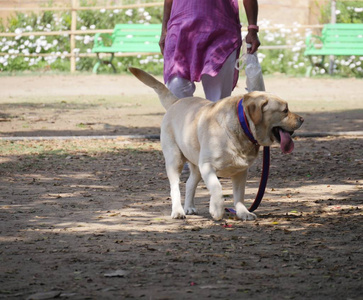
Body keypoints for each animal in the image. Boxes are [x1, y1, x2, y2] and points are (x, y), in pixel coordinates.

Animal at [129, 68, 304, 223]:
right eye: (285, 110)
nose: (302, 119)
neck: (241, 127)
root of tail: (177, 101)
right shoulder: (207, 165)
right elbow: (217, 189)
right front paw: (217, 211)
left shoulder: (241, 171)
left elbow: (239, 195)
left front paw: (243, 212)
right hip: (175, 159)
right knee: (175, 187)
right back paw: (178, 211)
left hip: (195, 163)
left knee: (190, 183)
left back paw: (189, 207)